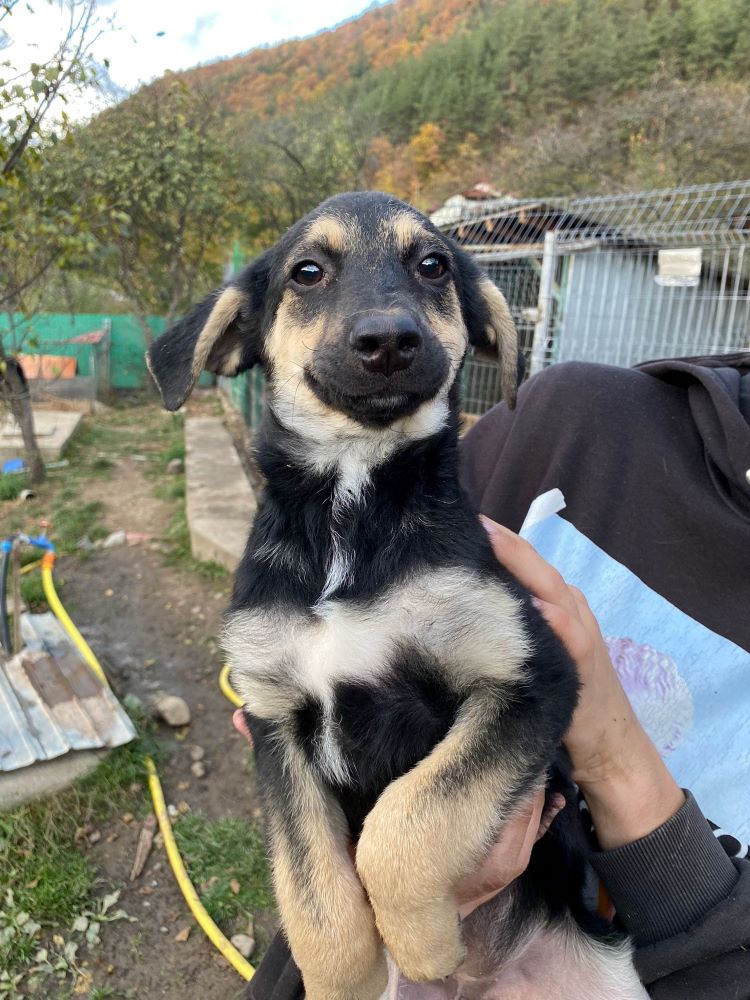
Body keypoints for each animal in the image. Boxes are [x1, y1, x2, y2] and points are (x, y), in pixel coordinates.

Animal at [147, 191, 648, 996]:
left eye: (434, 265)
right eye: (307, 271)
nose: (388, 340)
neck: (352, 510)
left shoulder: (531, 678)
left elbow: (409, 816)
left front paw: (423, 942)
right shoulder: (276, 721)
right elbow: (312, 889)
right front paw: (343, 977)